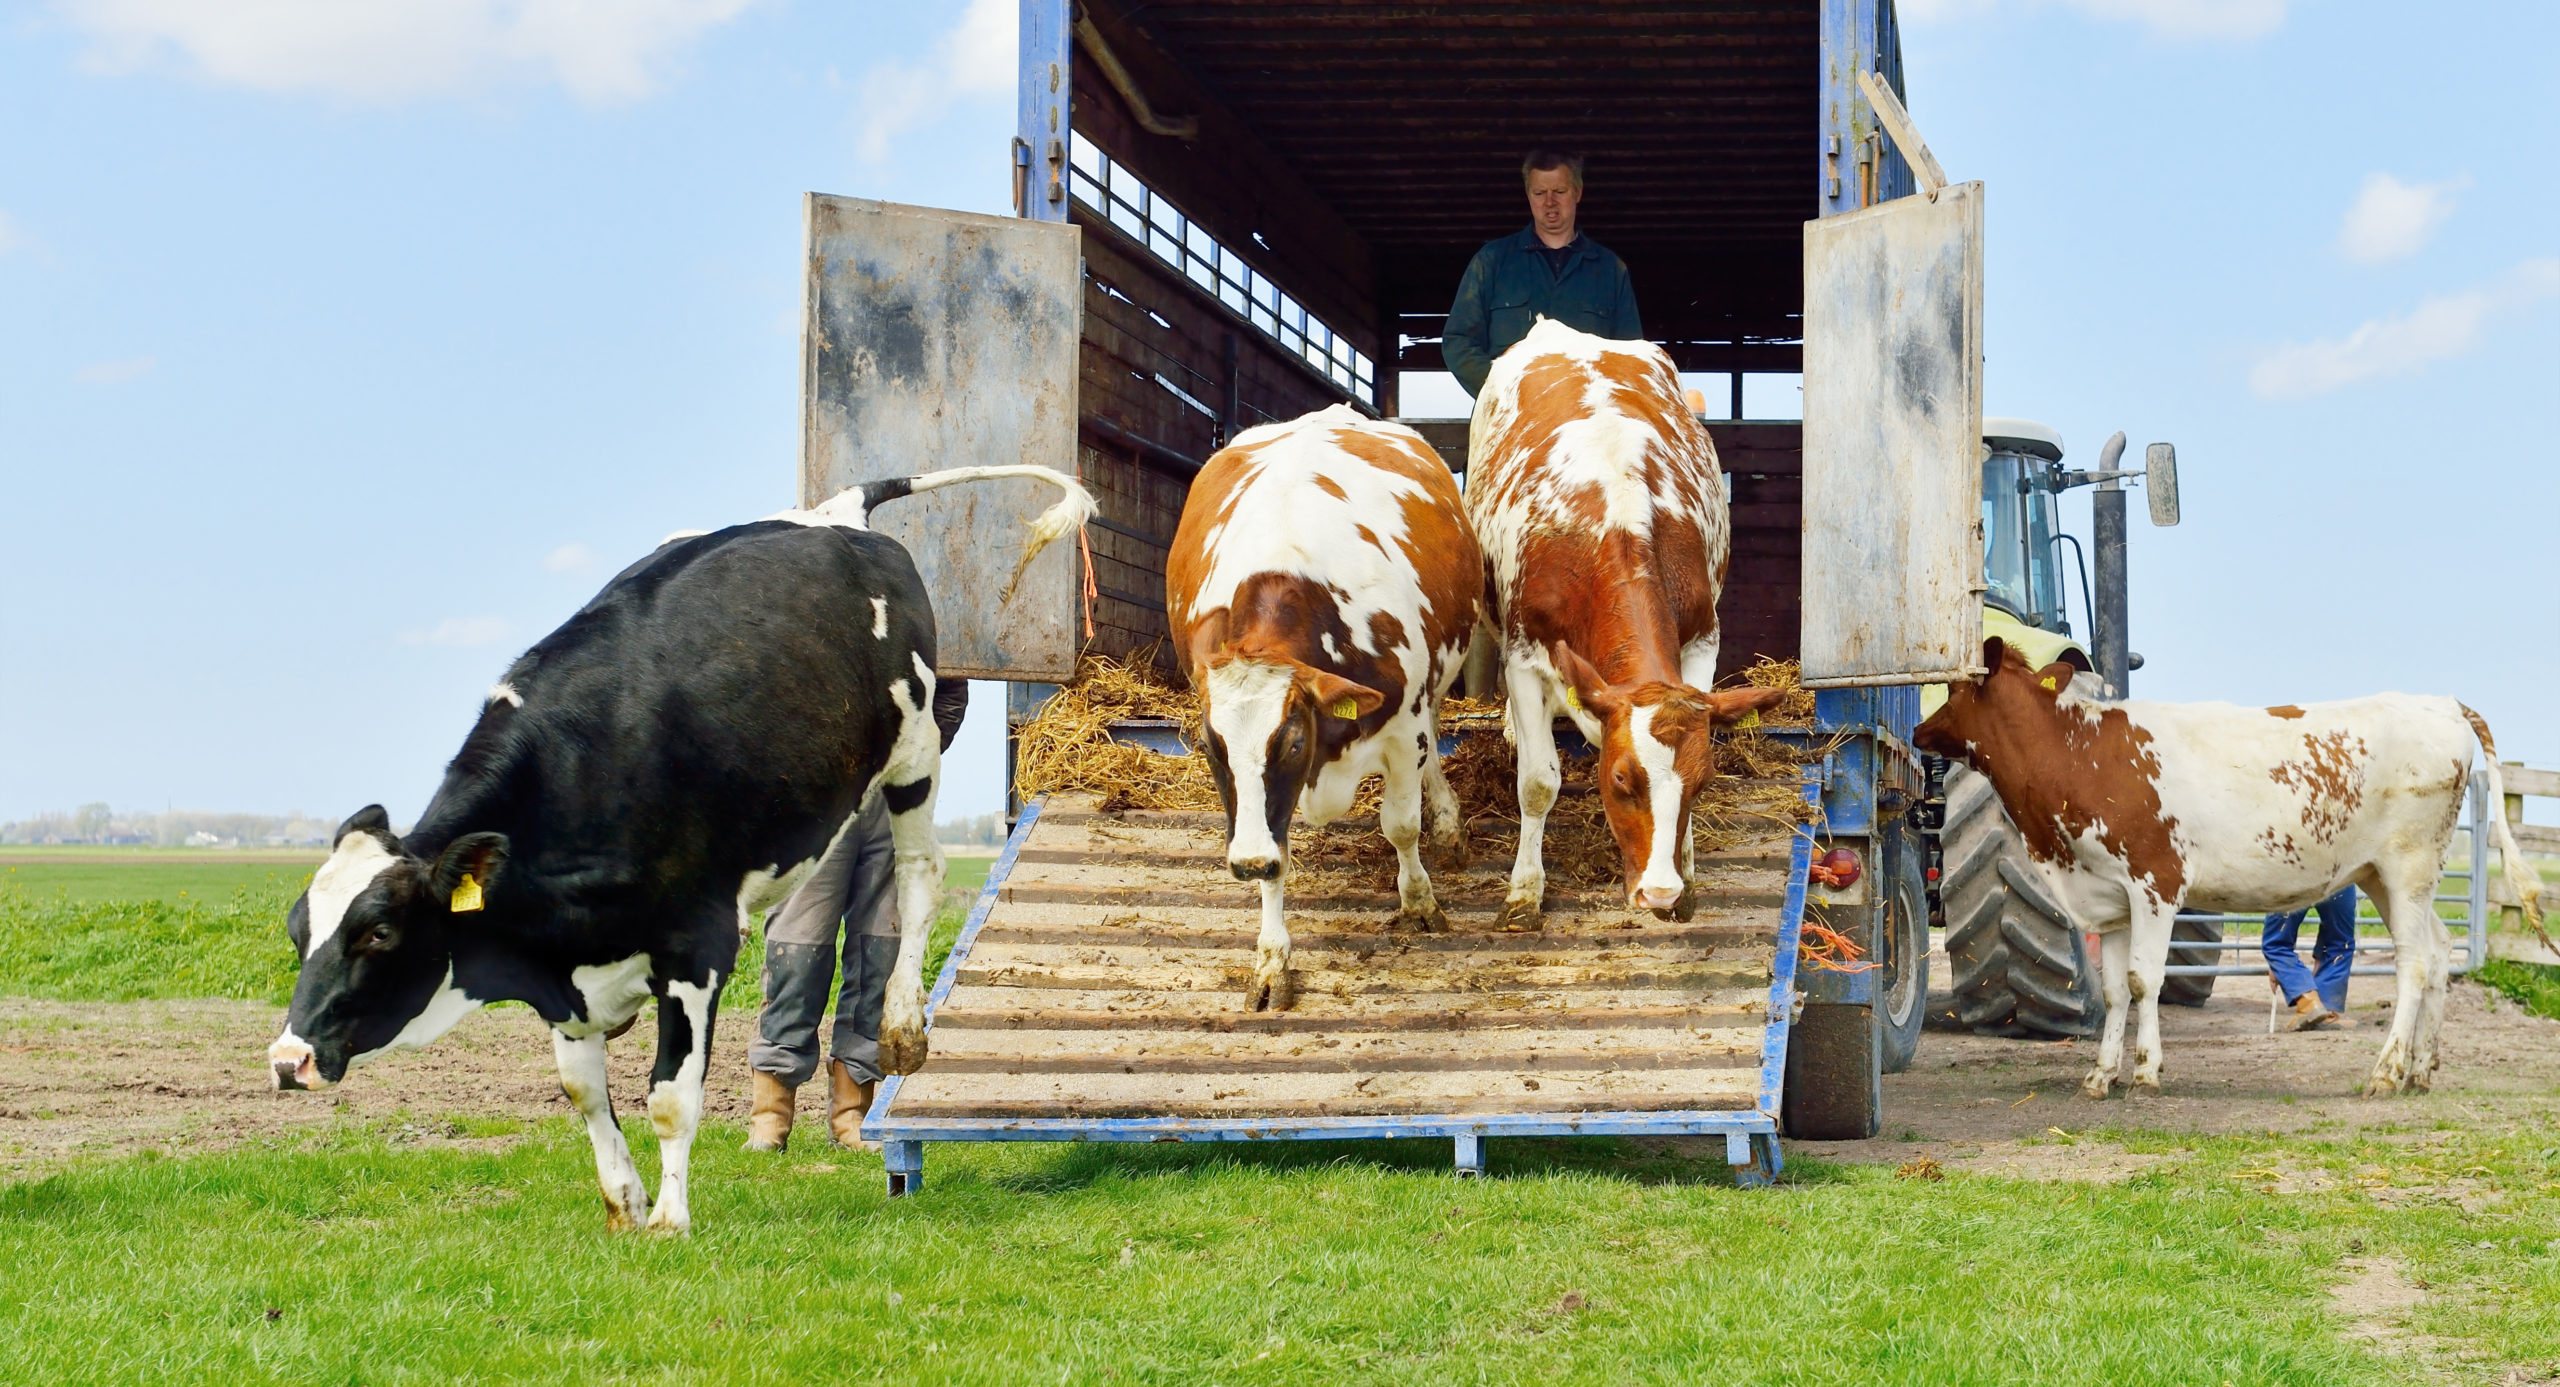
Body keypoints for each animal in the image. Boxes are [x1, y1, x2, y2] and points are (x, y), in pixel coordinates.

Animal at [264, 470, 1095, 1238]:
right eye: (299, 930)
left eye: (378, 932)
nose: (286, 1059)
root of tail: (838, 514)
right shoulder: (565, 975)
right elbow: (583, 1090)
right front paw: (623, 1203)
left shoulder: (695, 948)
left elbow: (669, 1096)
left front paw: (669, 1219)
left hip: (914, 749)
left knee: (917, 879)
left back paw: (902, 1026)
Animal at [1172, 401, 1495, 1013]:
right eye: (1208, 747)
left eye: (1294, 740)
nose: (1244, 862)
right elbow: (1277, 855)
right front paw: (1271, 962)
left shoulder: (1404, 730)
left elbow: (1400, 825)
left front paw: (1420, 902)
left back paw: (1447, 823)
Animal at [1464, 314, 1781, 926]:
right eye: (1619, 778)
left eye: (1703, 782)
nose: (1659, 894)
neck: (1615, 520)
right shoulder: (1524, 654)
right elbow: (1537, 782)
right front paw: (1524, 892)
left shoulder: (1702, 640)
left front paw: (1688, 877)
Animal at [1914, 644, 2549, 1110]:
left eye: (1955, 689)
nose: (1919, 733)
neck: (2077, 752)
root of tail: (2441, 703)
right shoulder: (2110, 895)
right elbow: (2116, 988)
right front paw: (2100, 1075)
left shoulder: (2156, 883)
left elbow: (2145, 981)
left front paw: (2145, 1073)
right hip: (2381, 877)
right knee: (2439, 952)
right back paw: (2421, 1067)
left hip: (2408, 866)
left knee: (2414, 964)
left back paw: (2387, 1071)